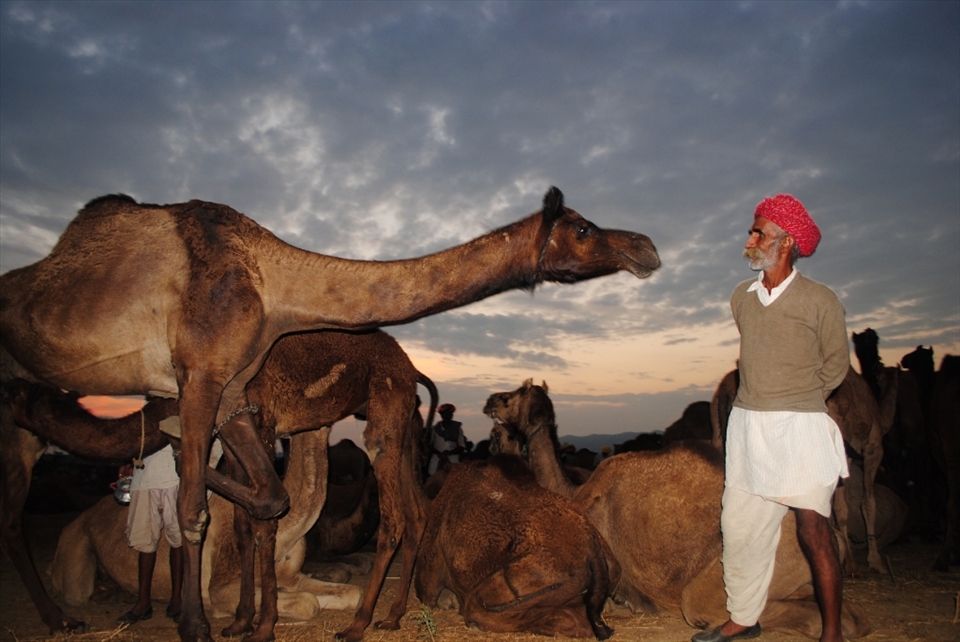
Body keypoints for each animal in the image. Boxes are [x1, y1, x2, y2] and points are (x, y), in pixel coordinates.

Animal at [6, 328, 438, 642]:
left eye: (24, 392)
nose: (8, 394)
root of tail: (411, 368)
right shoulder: (232, 438)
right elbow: (246, 528)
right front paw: (241, 622)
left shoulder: (258, 417)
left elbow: (265, 518)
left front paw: (262, 629)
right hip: (404, 427)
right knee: (417, 514)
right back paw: (392, 617)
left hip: (384, 411)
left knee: (394, 518)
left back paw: (357, 626)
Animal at [484, 379, 873, 640]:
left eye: (513, 394)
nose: (488, 399)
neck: (574, 491)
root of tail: (835, 540)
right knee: (843, 611)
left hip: (758, 567)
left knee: (706, 608)